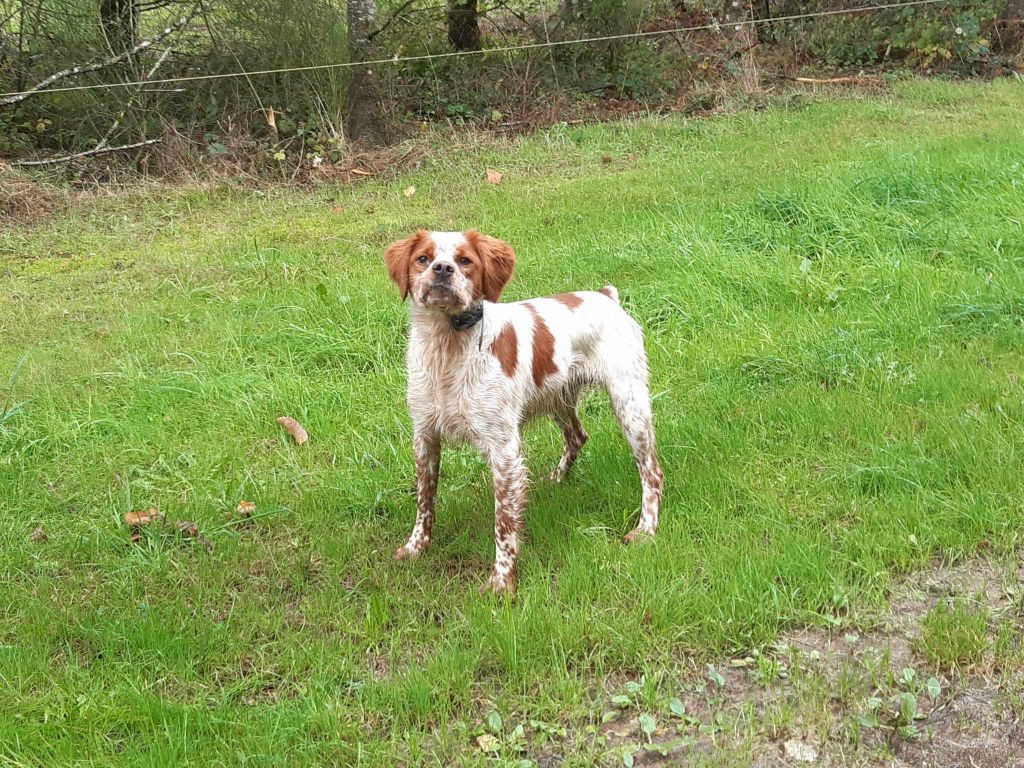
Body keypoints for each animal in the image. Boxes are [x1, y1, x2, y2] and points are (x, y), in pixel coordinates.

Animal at [385, 228, 663, 593]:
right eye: (423, 258)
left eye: (465, 260)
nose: (442, 269)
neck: (447, 347)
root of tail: (606, 297)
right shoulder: (425, 434)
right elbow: (424, 500)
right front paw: (416, 547)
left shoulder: (503, 448)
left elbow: (504, 523)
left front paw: (502, 583)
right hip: (557, 399)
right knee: (578, 436)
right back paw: (556, 479)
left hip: (629, 404)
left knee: (651, 471)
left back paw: (646, 529)